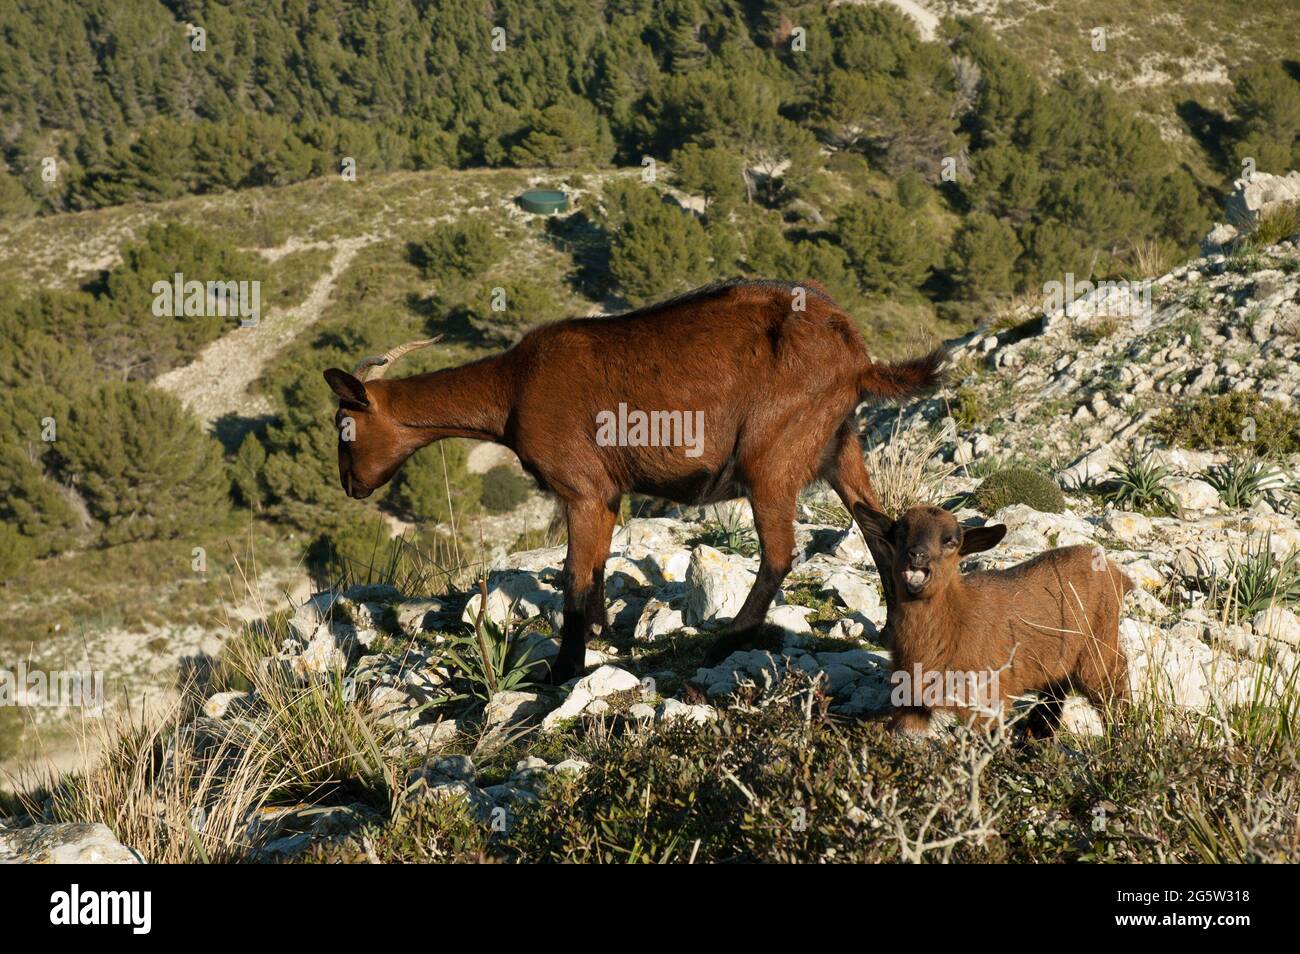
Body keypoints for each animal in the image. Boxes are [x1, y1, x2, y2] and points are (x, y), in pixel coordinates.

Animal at [319, 280, 941, 686]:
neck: (512, 389)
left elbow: (574, 572)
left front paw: (565, 667)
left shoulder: (582, 488)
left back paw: (731, 635)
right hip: (840, 444)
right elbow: (594, 566)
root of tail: (857, 357)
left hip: (771, 455)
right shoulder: (607, 494)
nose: (351, 486)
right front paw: (598, 631)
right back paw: (891, 628)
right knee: (877, 528)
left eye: (344, 427)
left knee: (782, 551)